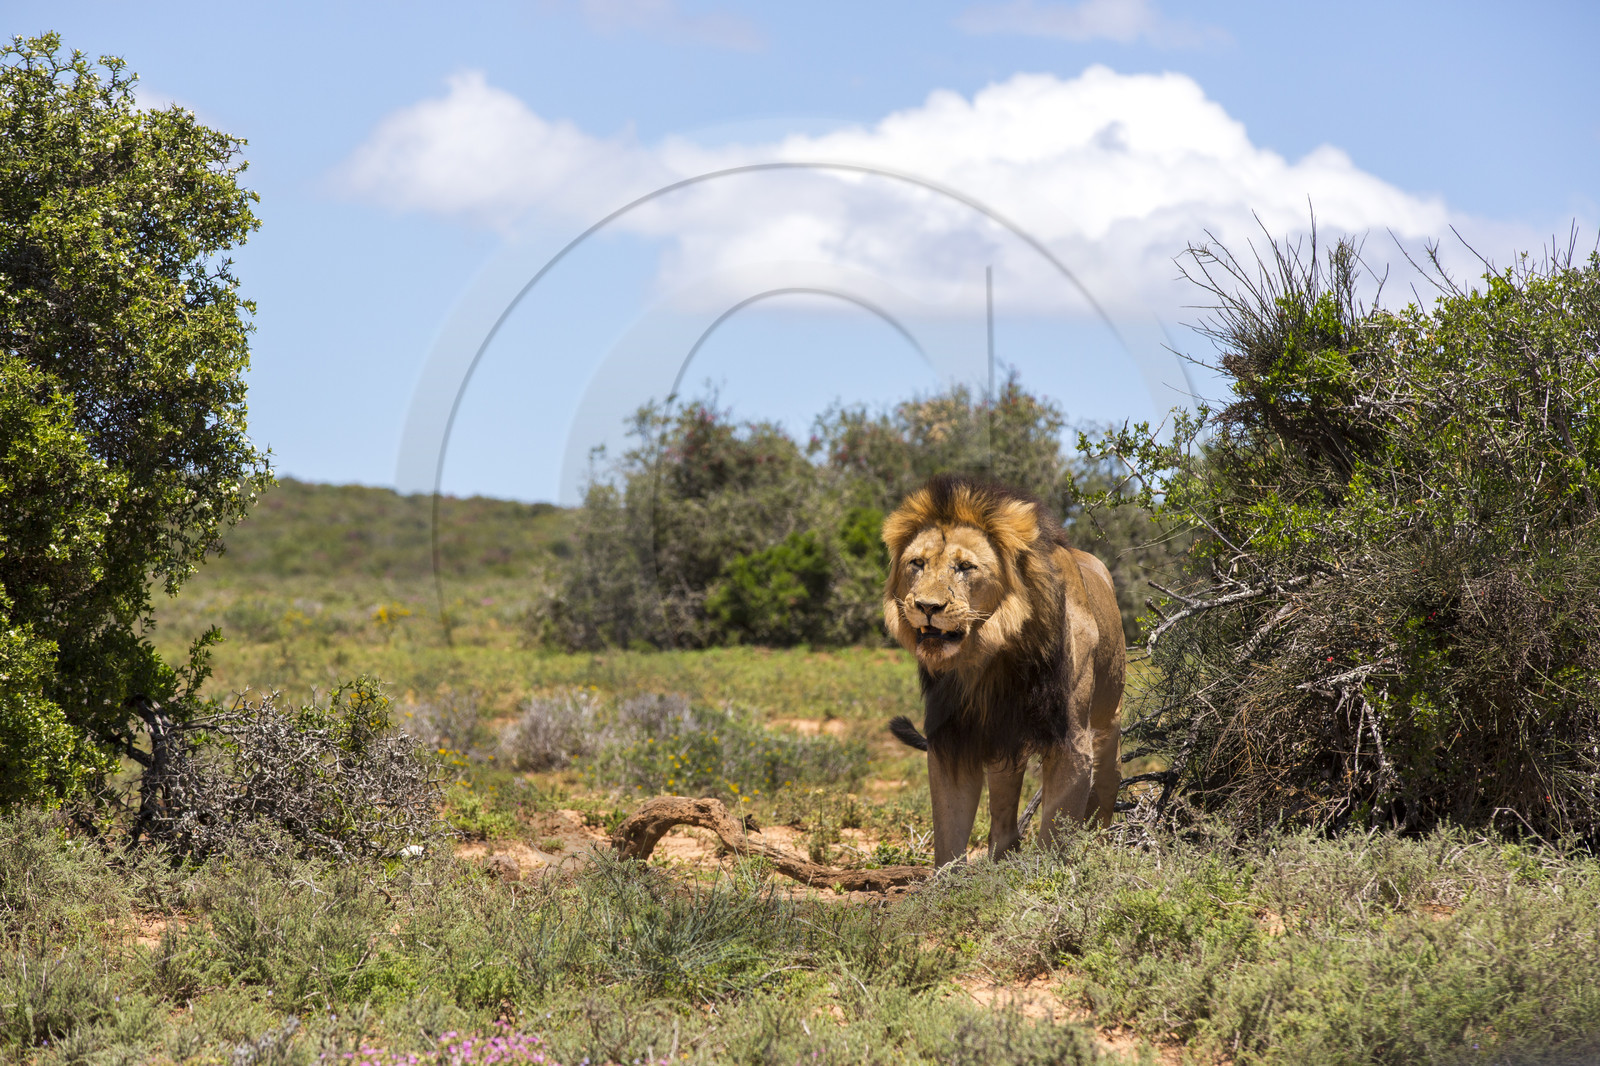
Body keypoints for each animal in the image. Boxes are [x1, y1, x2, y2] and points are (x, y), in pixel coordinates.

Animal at [882, 475, 1125, 866]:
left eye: (966, 567)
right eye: (917, 563)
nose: (927, 606)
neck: (993, 655)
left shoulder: (1072, 741)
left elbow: (1056, 834)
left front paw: (1050, 874)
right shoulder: (953, 738)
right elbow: (948, 835)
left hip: (1109, 728)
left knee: (1104, 798)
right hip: (1002, 745)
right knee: (1003, 819)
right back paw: (1001, 858)